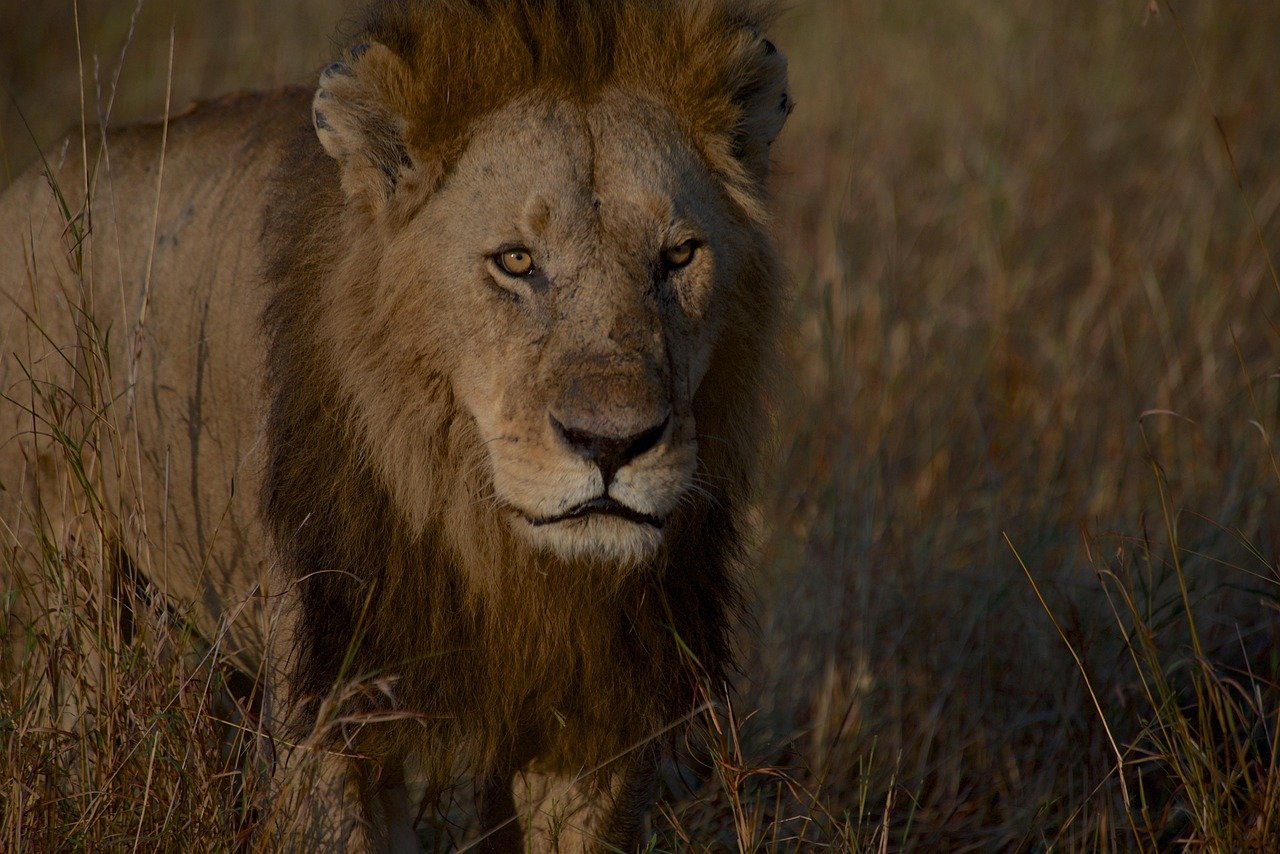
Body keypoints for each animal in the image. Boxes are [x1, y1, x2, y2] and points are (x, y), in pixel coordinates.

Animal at [0, 0, 791, 849]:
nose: (613, 444)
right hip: (70, 592)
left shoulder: (597, 721)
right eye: (516, 261)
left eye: (678, 256)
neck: (496, 550)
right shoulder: (332, 699)